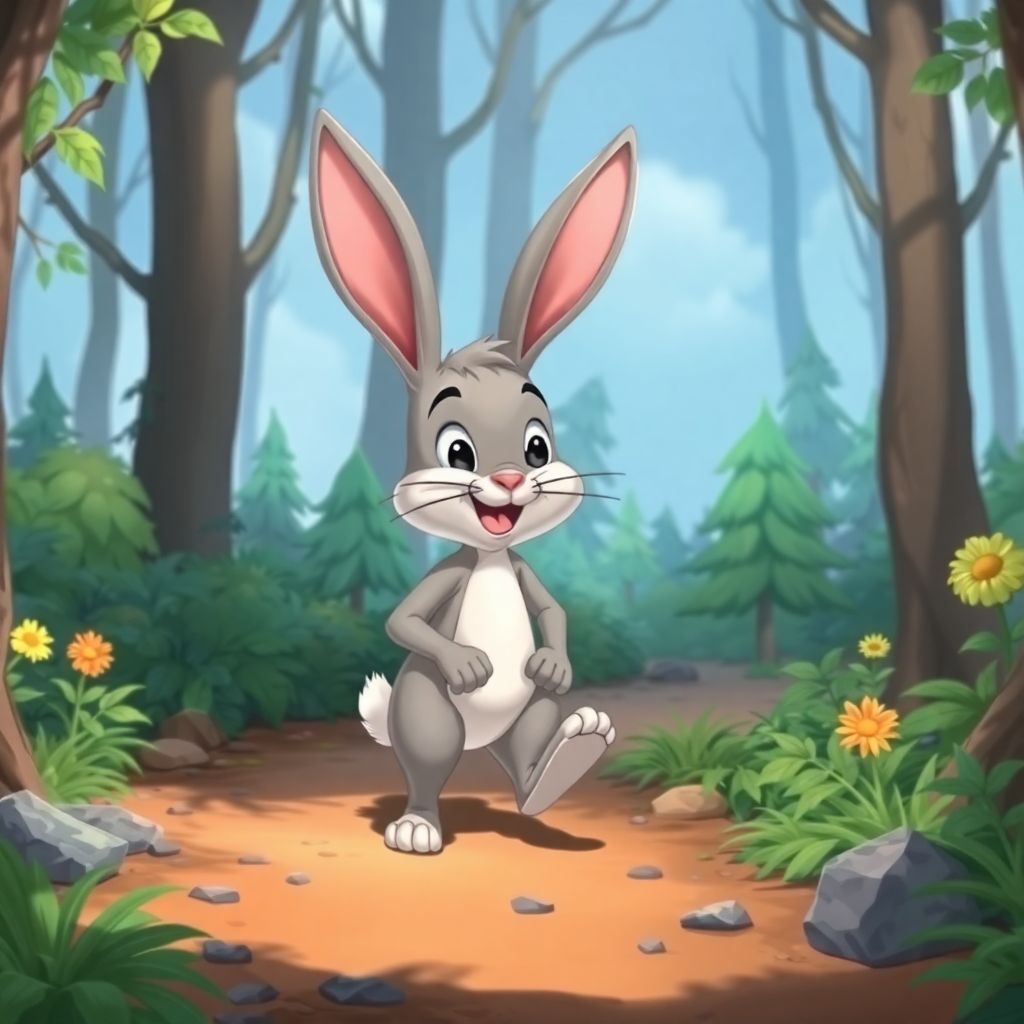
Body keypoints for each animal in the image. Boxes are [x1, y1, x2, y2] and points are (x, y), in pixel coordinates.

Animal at [309, 109, 638, 855]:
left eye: (538, 445)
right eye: (457, 451)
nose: (511, 478)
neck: (488, 559)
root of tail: (482, 743)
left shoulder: (520, 568)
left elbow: (553, 611)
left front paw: (556, 662)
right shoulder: (447, 580)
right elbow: (404, 621)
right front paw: (468, 664)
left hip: (528, 719)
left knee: (531, 753)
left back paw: (564, 760)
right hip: (426, 714)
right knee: (429, 765)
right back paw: (417, 828)